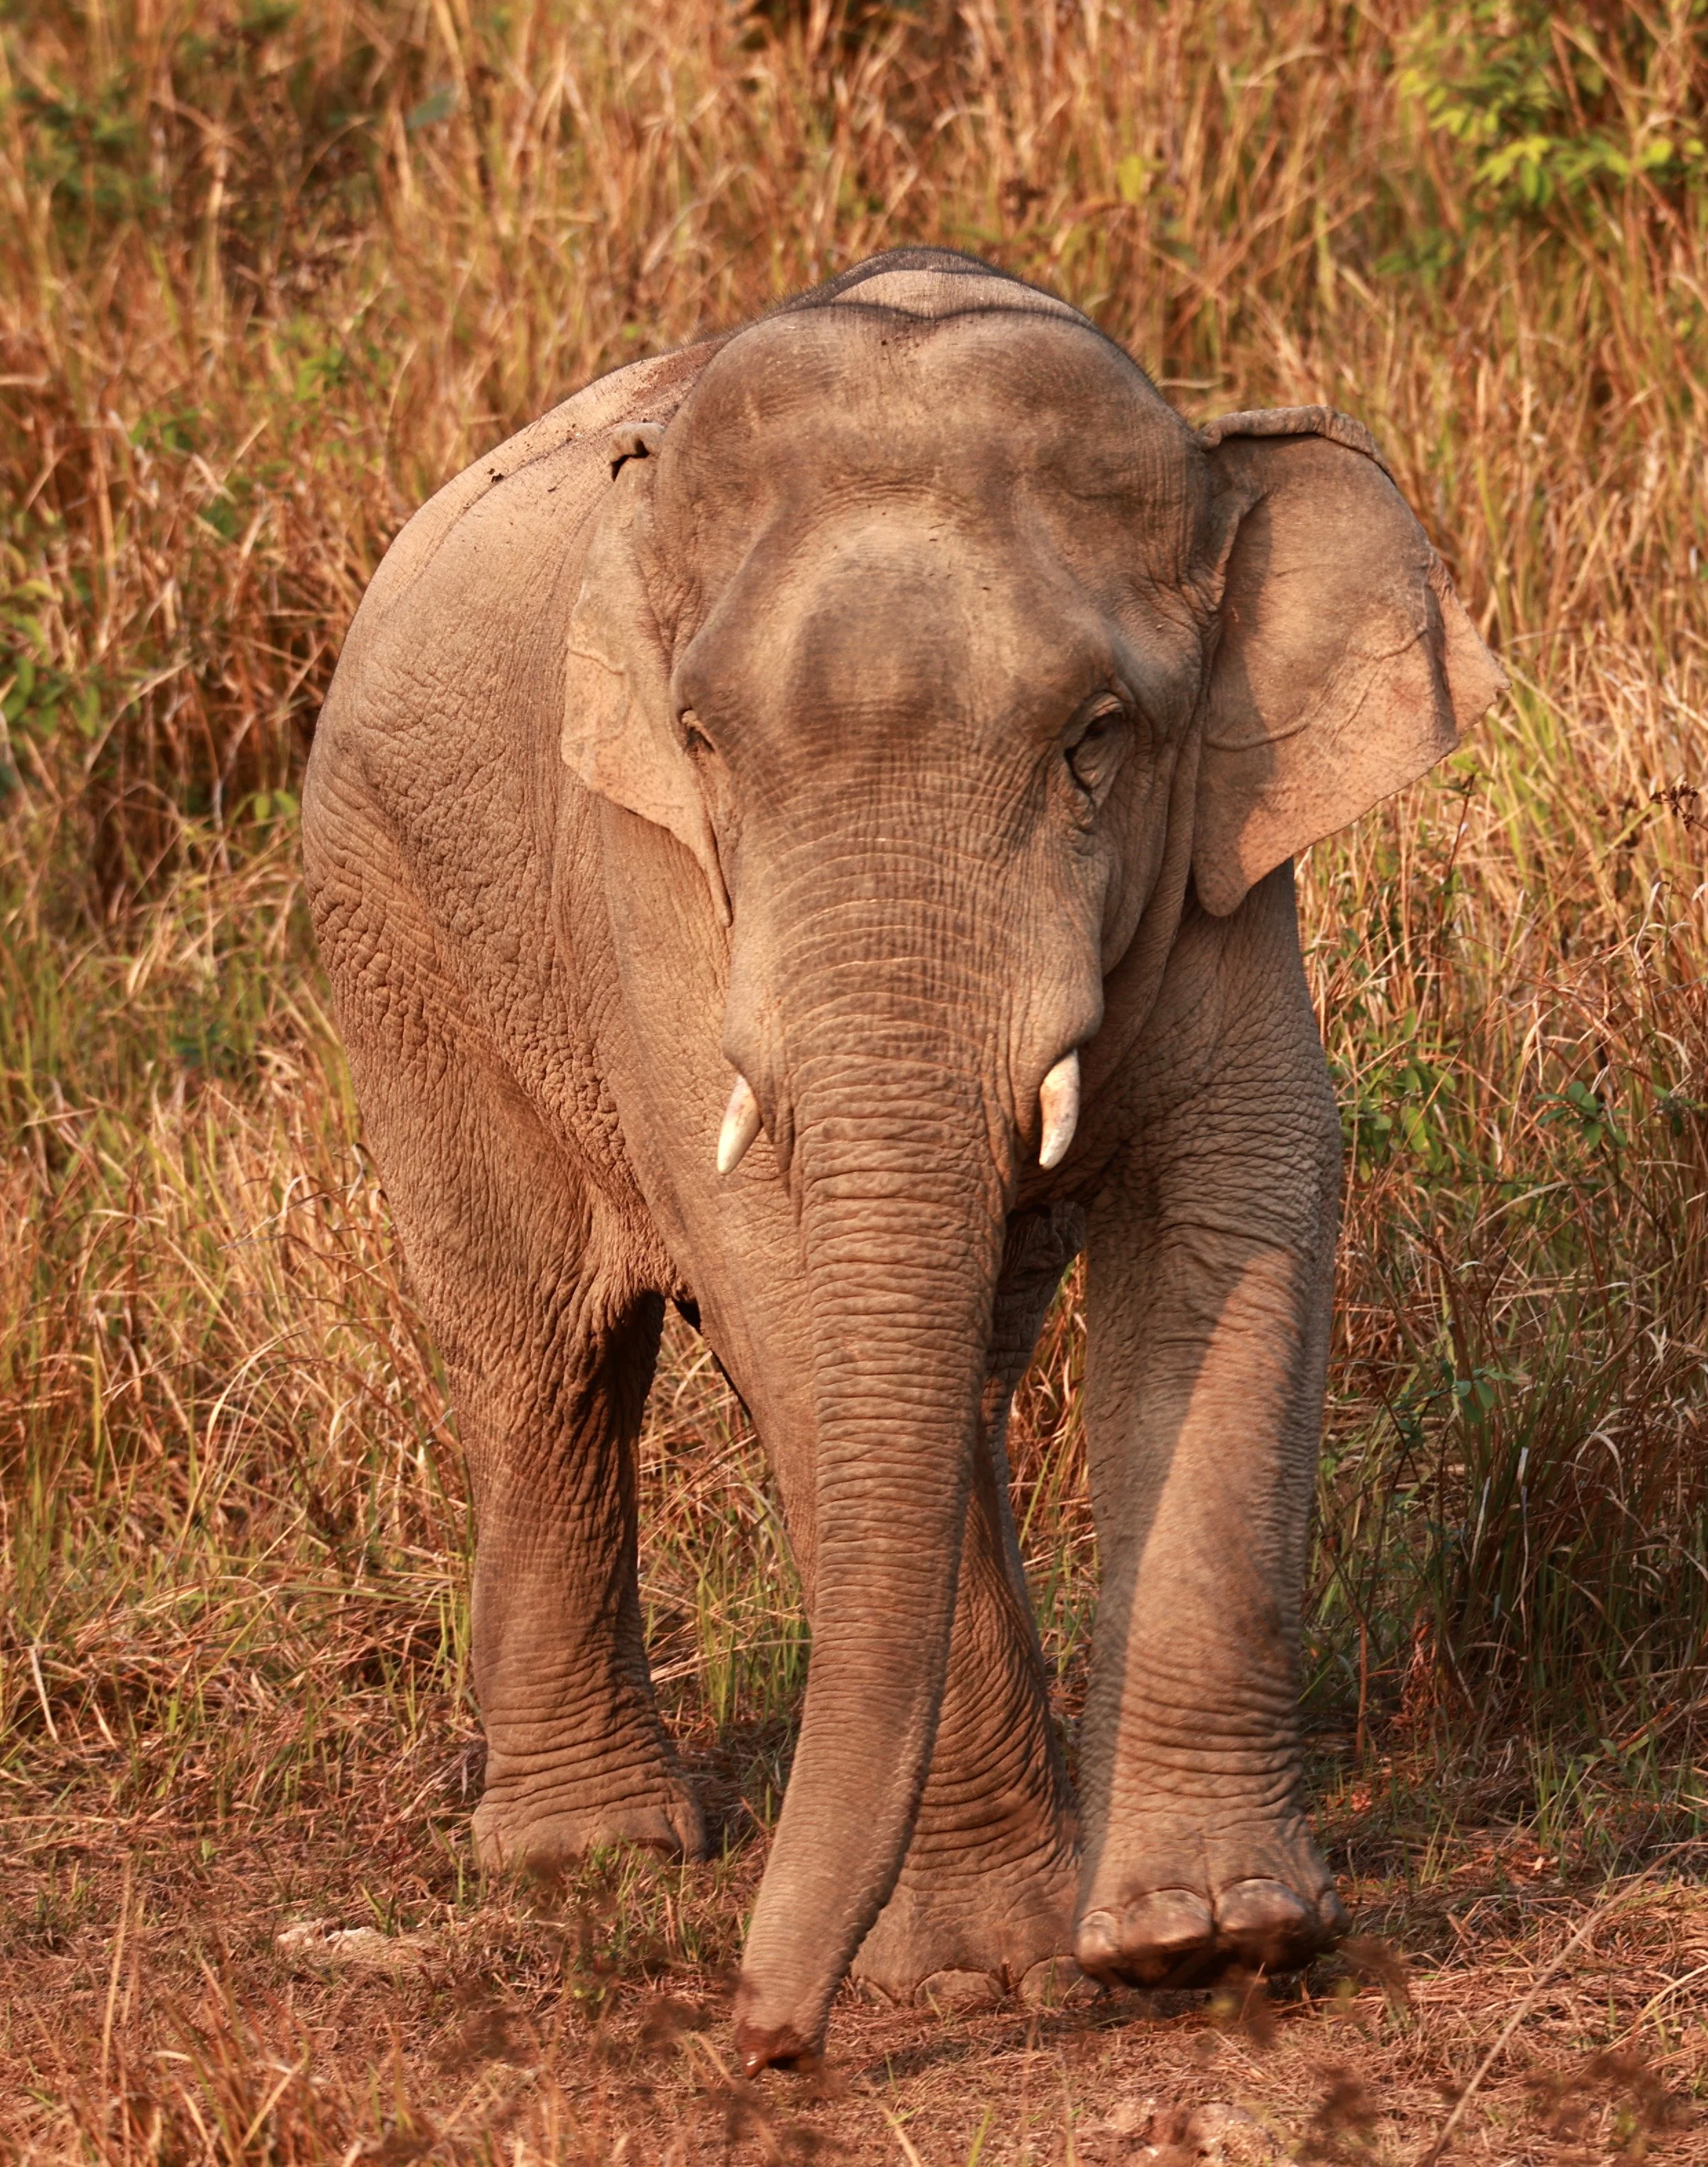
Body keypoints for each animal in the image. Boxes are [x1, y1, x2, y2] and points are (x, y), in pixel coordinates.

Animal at [302, 248, 1502, 2072]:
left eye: (1096, 738)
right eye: (704, 745)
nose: (763, 2041)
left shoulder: (1223, 858)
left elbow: (1243, 1189)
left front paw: (1208, 1944)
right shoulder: (655, 884)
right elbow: (773, 1268)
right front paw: (978, 1975)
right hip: (401, 937)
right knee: (542, 1356)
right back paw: (593, 1855)